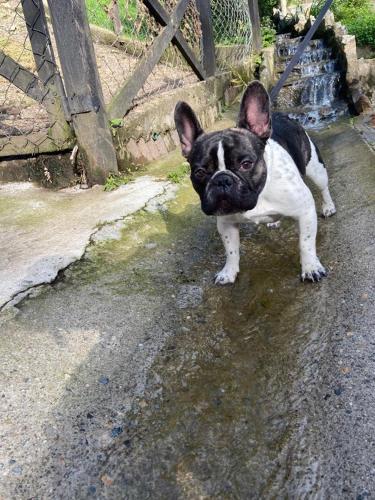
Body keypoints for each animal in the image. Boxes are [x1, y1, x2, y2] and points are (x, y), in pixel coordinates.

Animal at [175, 82, 336, 286]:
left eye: (246, 164)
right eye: (200, 172)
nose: (222, 179)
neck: (259, 194)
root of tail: (282, 116)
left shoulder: (305, 210)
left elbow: (306, 244)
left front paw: (311, 268)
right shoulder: (226, 223)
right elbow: (231, 250)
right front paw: (229, 271)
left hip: (316, 169)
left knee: (323, 188)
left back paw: (328, 207)